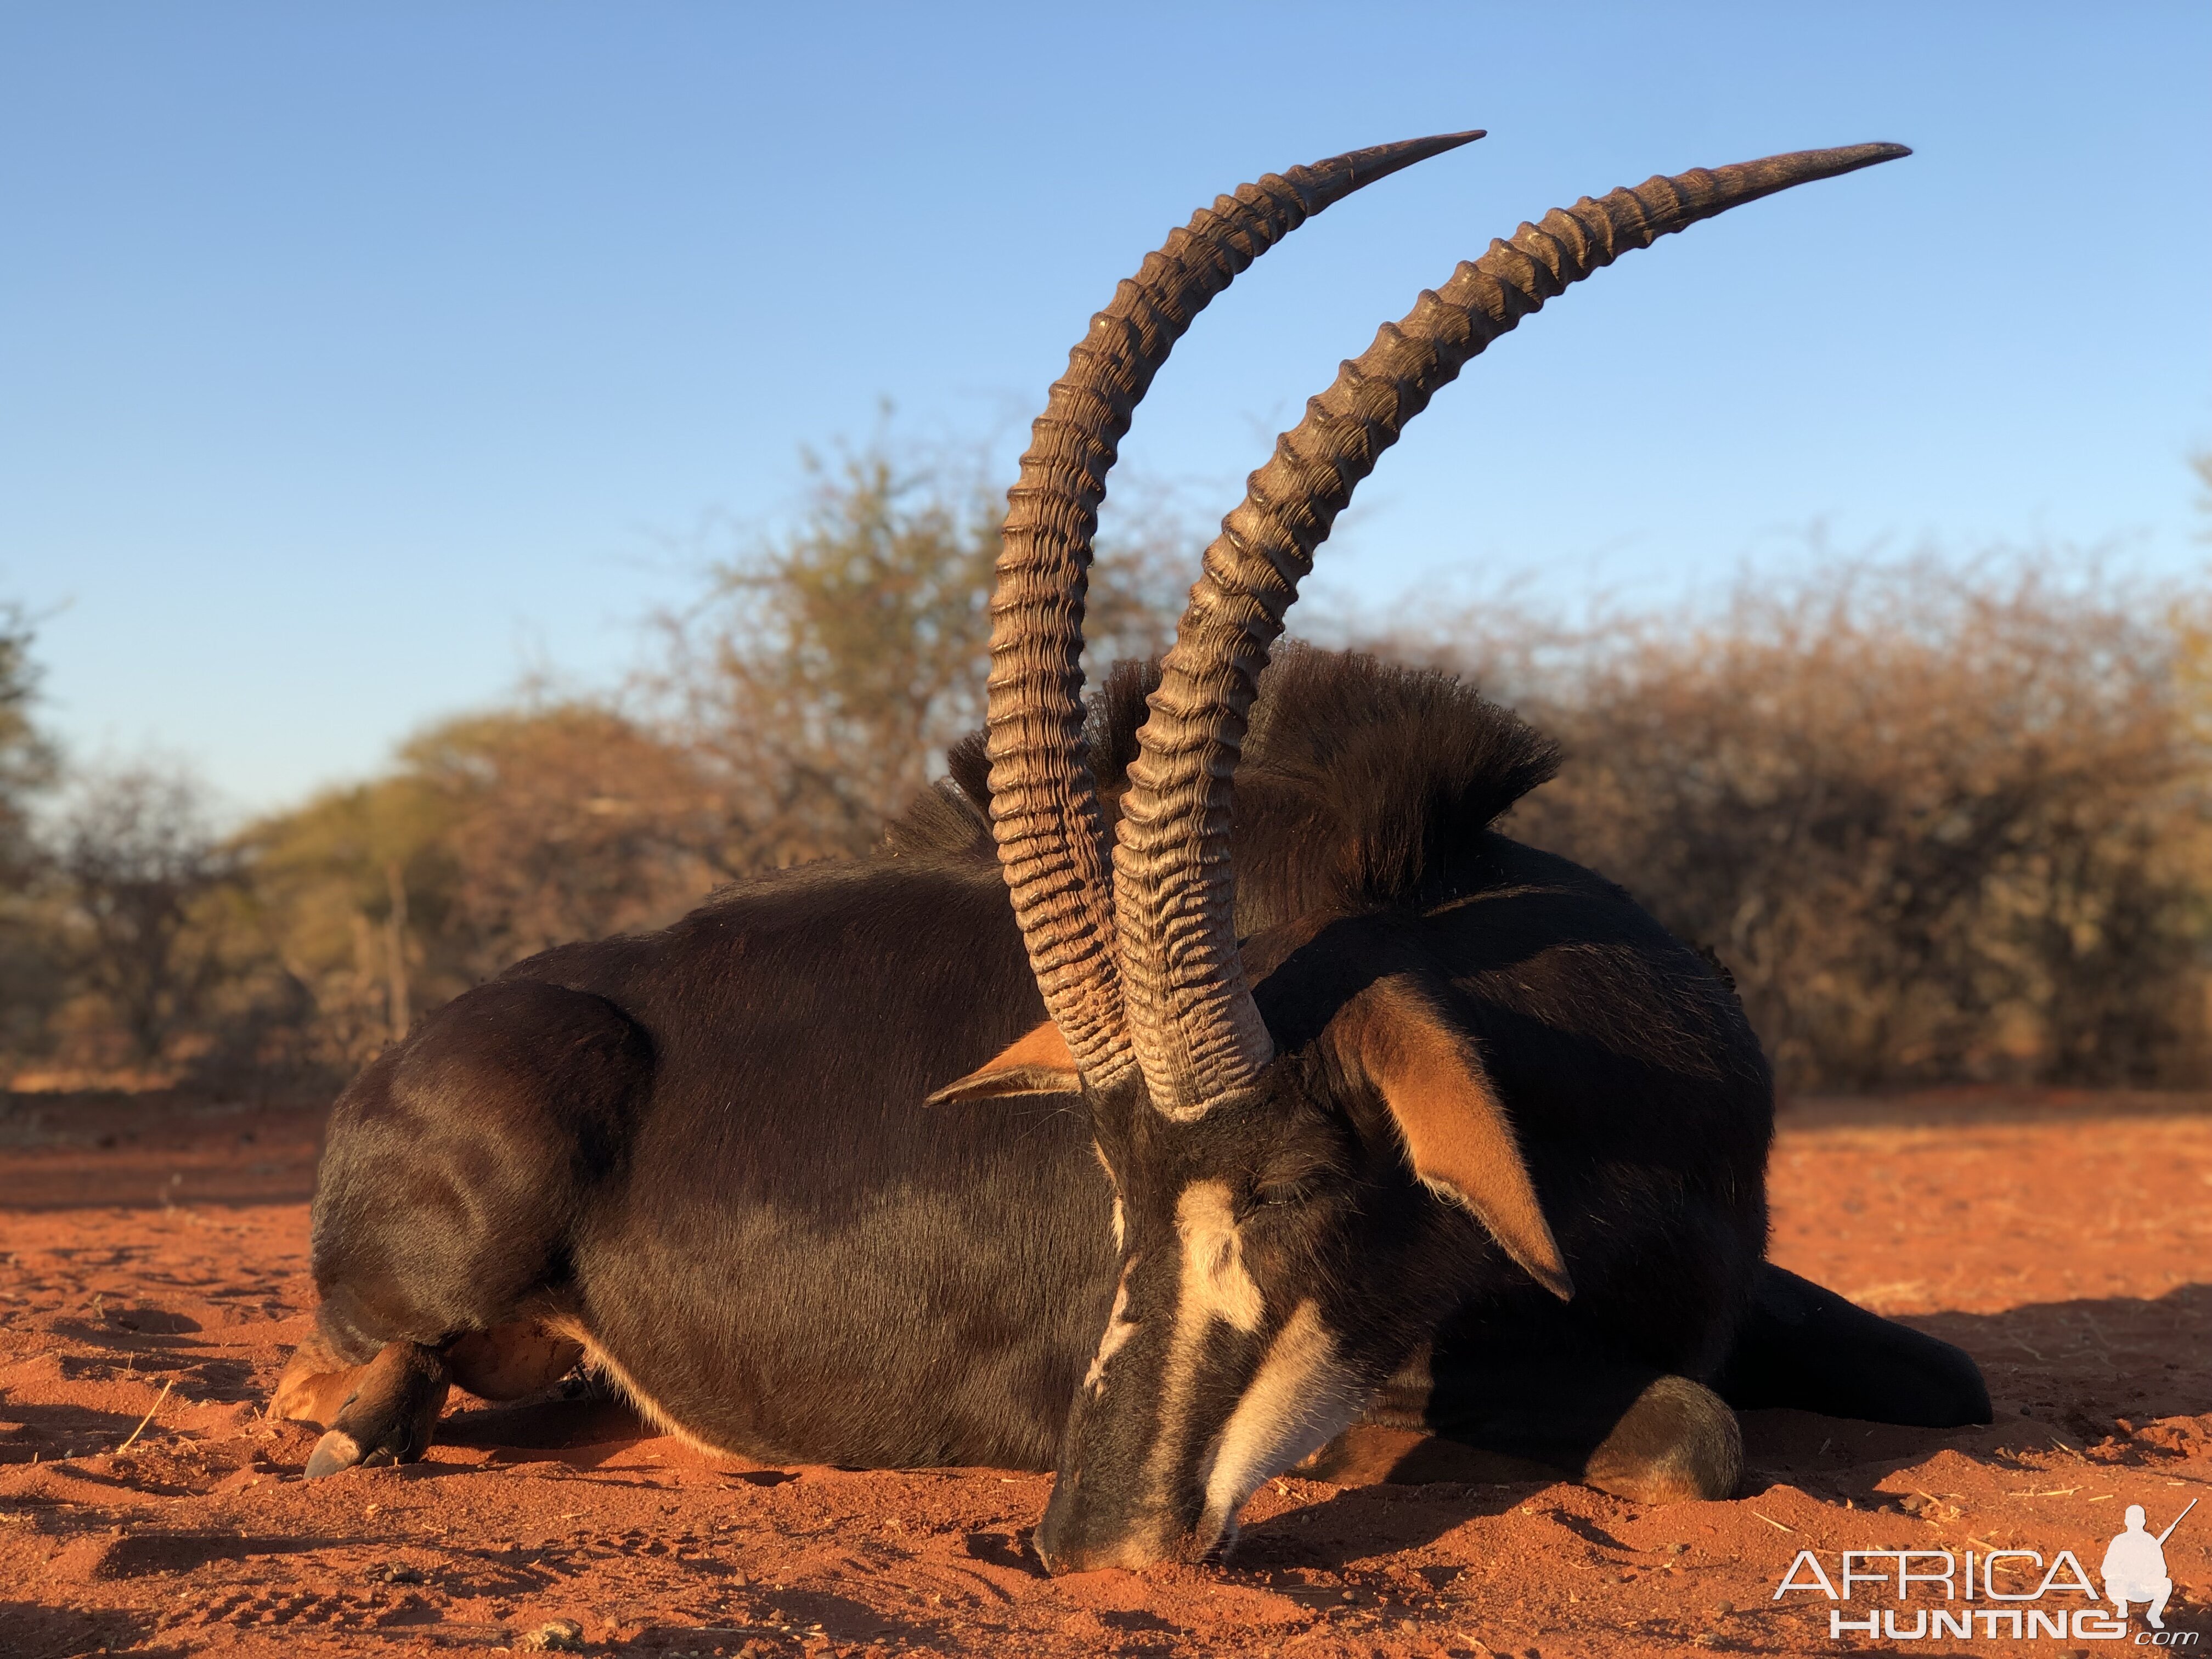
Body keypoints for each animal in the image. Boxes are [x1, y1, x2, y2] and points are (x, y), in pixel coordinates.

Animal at [272, 133, 1990, 1575]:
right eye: (1113, 1185)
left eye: (1298, 1181)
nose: (1087, 1541)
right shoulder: (1405, 1391)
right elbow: (1690, 1432)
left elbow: (1949, 1371)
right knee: (372, 1363)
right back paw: (348, 1421)